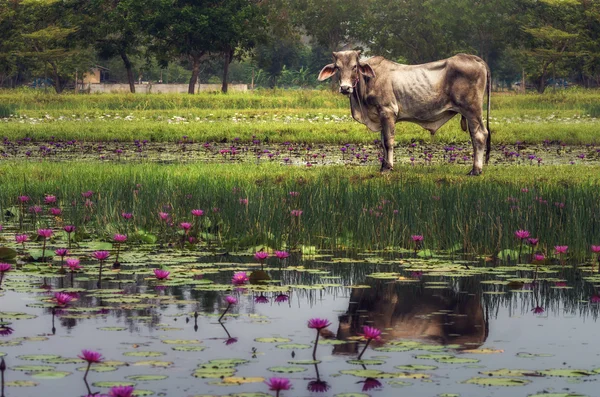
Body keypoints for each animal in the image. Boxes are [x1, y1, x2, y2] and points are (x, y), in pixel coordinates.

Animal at [318, 50, 492, 174]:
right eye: (338, 67)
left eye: (354, 66)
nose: (345, 88)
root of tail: (476, 59)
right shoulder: (381, 116)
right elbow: (382, 141)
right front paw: (383, 165)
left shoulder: (387, 111)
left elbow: (388, 141)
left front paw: (388, 167)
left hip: (472, 110)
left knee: (479, 135)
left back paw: (476, 170)